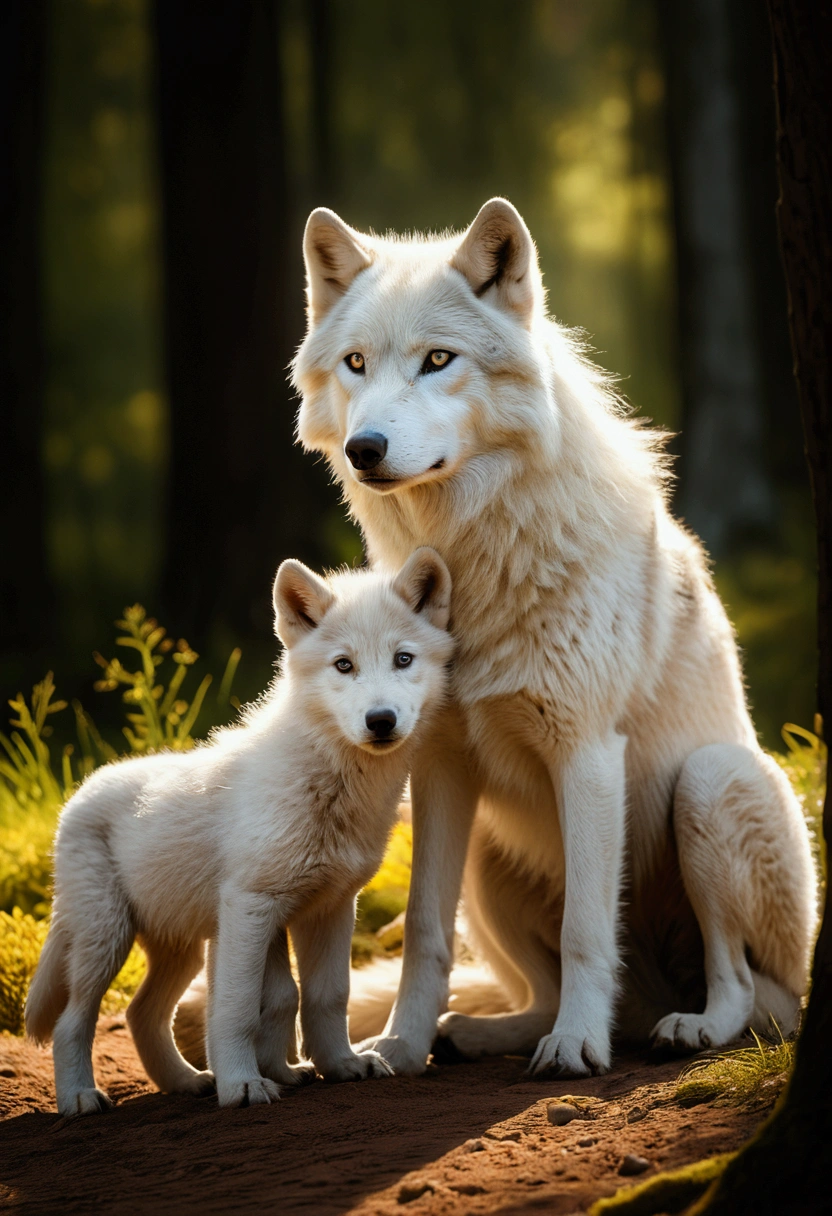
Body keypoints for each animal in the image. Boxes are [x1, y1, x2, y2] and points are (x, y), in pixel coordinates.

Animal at [26, 549, 452, 1113]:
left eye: (403, 659)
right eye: (344, 665)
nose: (380, 720)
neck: (331, 787)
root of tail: (76, 794)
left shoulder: (329, 909)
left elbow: (320, 996)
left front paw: (337, 1066)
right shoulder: (252, 906)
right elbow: (239, 1006)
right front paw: (243, 1086)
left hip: (180, 946)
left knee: (142, 1014)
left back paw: (186, 1082)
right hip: (107, 940)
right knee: (72, 1021)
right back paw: (79, 1097)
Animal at [291, 194, 817, 1079]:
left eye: (437, 360)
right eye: (357, 363)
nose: (366, 449)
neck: (477, 568)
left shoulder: (587, 753)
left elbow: (585, 931)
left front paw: (575, 1047)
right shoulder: (440, 769)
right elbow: (424, 934)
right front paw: (397, 1047)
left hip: (710, 788)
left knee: (749, 989)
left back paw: (684, 1028)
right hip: (488, 858)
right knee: (532, 989)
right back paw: (480, 1034)